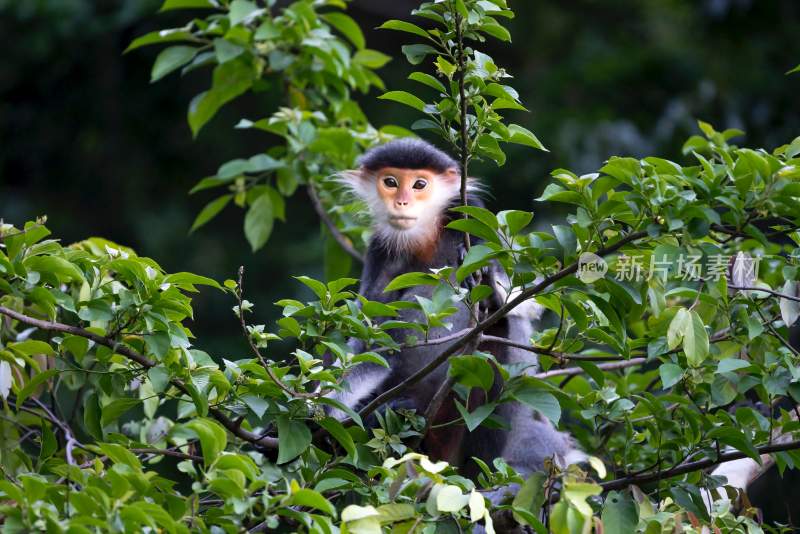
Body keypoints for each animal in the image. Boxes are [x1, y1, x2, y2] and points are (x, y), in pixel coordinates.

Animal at [328, 137, 584, 506]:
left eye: (420, 185)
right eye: (390, 182)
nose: (402, 201)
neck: (426, 236)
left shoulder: (473, 218)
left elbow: (523, 304)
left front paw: (491, 289)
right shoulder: (380, 250)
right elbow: (373, 343)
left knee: (495, 342)